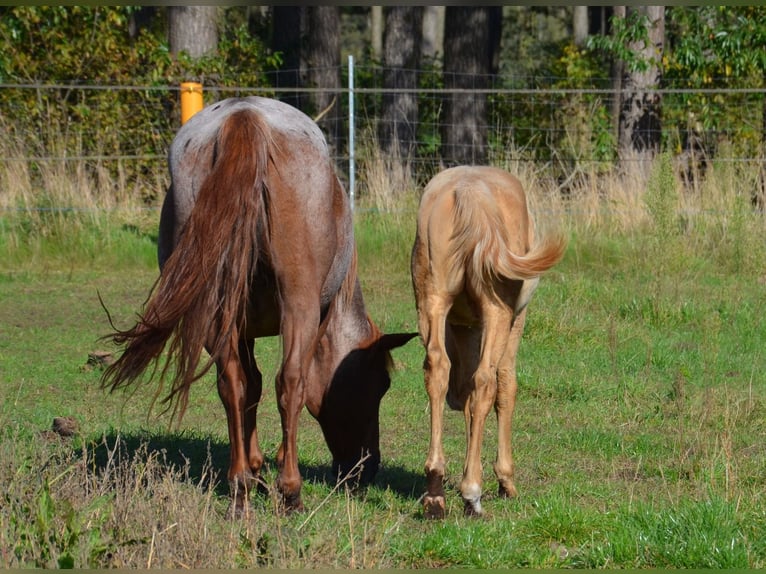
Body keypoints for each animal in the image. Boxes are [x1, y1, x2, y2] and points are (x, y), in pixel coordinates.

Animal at [100, 97, 420, 520]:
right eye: (380, 385)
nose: (367, 469)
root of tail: (244, 117)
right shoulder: (316, 318)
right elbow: (290, 384)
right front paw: (276, 465)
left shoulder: (241, 328)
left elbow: (250, 386)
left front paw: (253, 469)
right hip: (298, 305)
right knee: (290, 383)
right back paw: (291, 491)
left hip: (216, 311)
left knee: (232, 385)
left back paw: (240, 489)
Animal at [412, 164, 568, 520]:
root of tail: (470, 191)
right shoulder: (513, 323)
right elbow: (504, 387)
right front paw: (504, 480)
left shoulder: (466, 328)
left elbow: (469, 395)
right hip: (499, 312)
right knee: (487, 381)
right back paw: (473, 493)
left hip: (432, 300)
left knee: (437, 368)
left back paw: (435, 491)